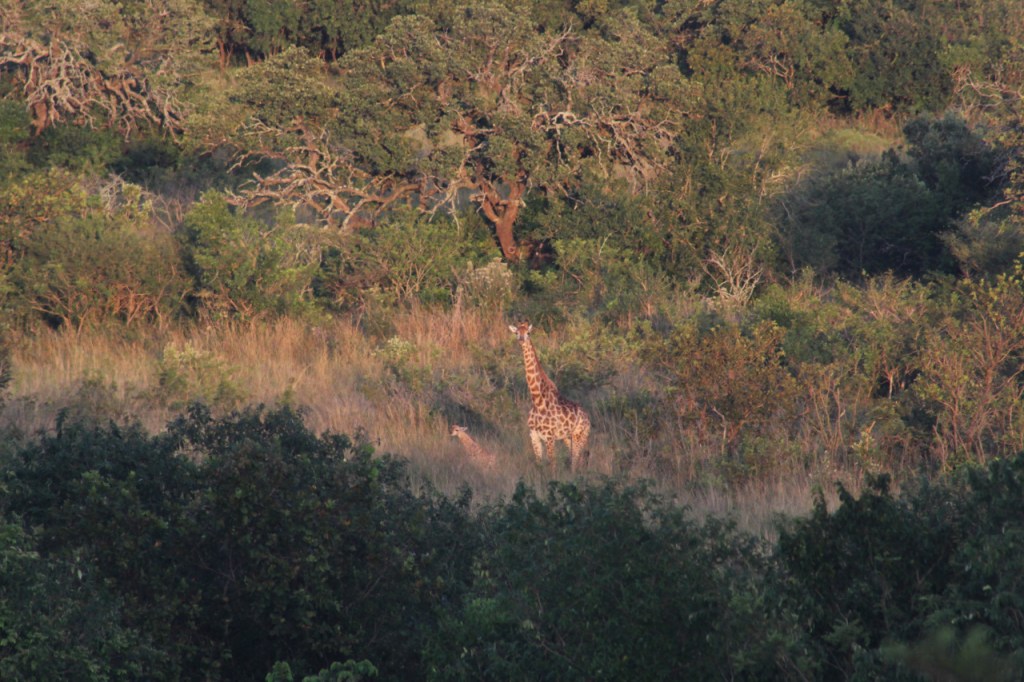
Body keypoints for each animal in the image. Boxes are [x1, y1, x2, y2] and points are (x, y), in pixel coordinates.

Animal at [508, 322, 591, 471]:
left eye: (528, 333)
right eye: (516, 332)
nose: (521, 340)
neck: (537, 399)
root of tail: (589, 419)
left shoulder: (549, 436)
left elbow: (552, 464)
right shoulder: (534, 435)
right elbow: (539, 464)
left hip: (580, 435)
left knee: (575, 461)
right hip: (567, 437)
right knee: (579, 458)